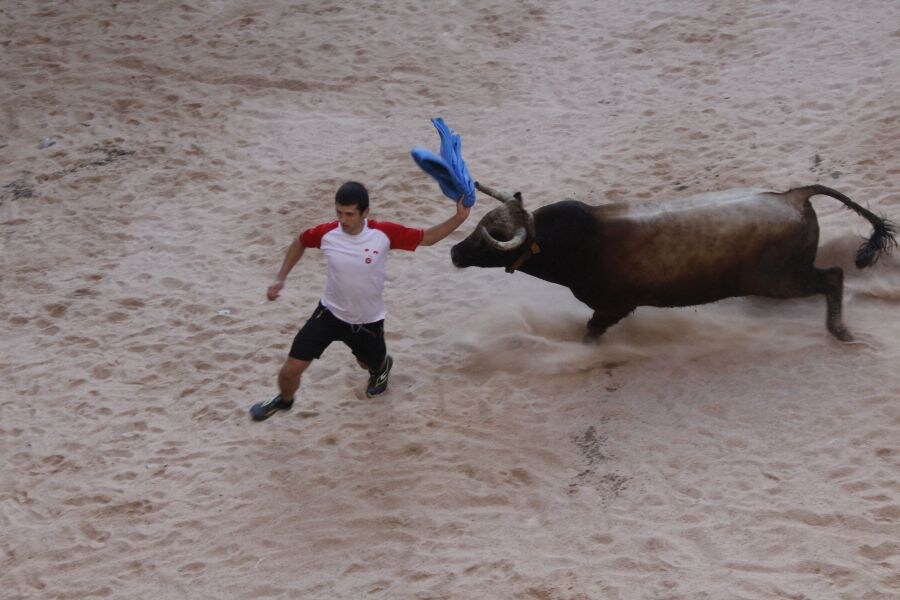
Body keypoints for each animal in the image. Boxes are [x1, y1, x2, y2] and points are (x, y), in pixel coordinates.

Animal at [454, 182, 896, 342]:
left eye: (492, 241)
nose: (455, 252)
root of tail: (795, 196)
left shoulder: (612, 306)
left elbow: (591, 332)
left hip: (783, 279)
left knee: (833, 277)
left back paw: (840, 331)